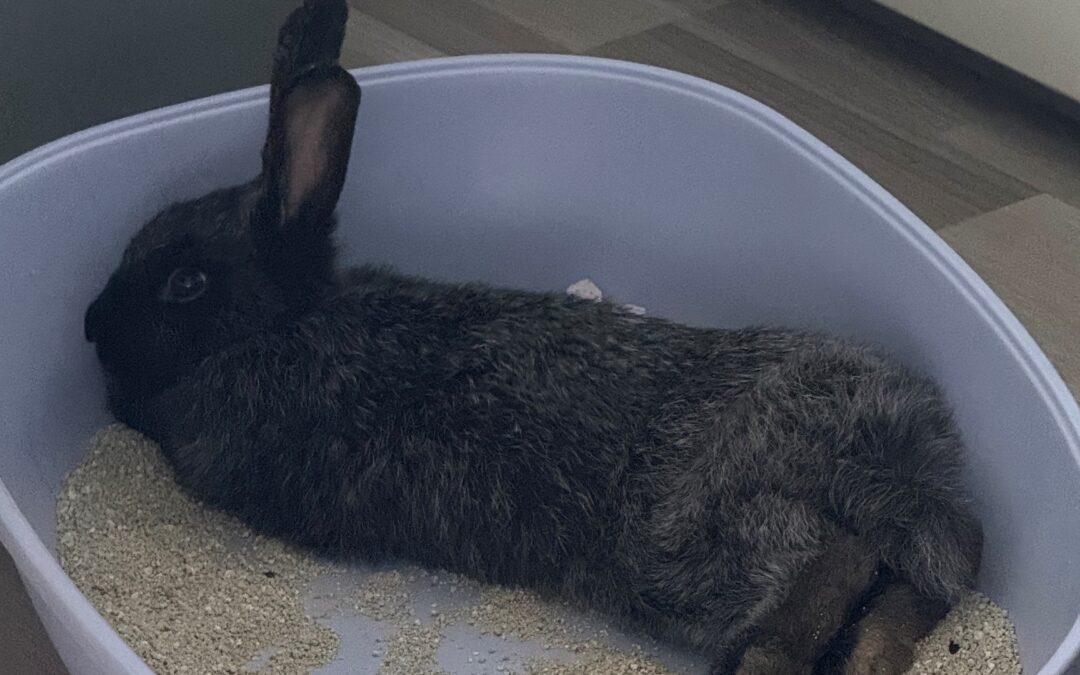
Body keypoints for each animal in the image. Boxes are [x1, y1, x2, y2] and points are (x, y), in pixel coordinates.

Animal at [83, 0, 982, 672]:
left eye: (186, 282)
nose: (90, 322)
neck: (277, 322)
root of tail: (896, 453)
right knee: (900, 592)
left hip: (698, 538)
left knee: (824, 569)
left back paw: (767, 660)